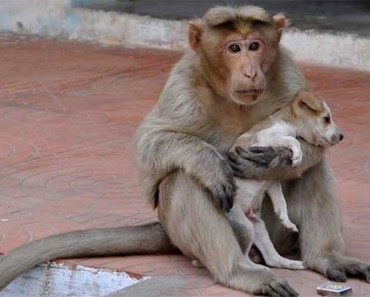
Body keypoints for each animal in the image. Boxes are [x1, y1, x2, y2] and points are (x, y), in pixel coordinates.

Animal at [225, 91, 344, 270]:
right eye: (326, 119)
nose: (342, 136)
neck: (288, 122)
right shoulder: (265, 136)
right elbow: (292, 140)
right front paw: (297, 155)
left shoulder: (271, 179)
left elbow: (280, 200)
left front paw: (285, 219)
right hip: (244, 226)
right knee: (242, 259)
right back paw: (257, 268)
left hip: (258, 227)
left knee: (272, 258)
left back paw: (294, 264)